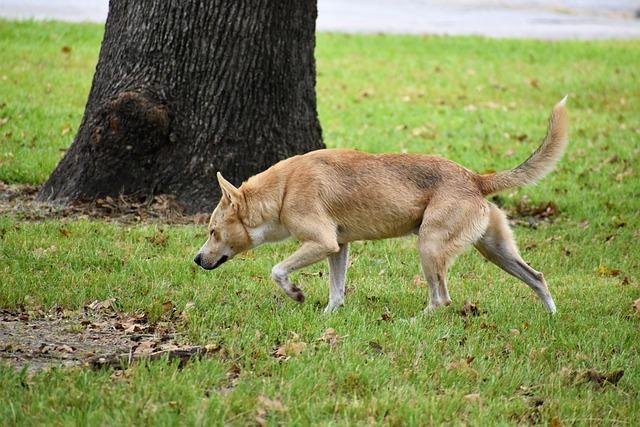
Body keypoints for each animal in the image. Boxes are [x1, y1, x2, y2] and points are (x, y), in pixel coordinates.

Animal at [192, 98, 568, 316]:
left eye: (212, 231)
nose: (196, 259)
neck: (283, 190)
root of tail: (475, 178)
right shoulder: (338, 247)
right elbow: (336, 290)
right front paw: (328, 318)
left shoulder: (320, 242)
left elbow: (277, 270)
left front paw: (296, 294)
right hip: (494, 249)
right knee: (537, 277)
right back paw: (551, 315)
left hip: (429, 246)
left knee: (441, 298)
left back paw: (416, 321)